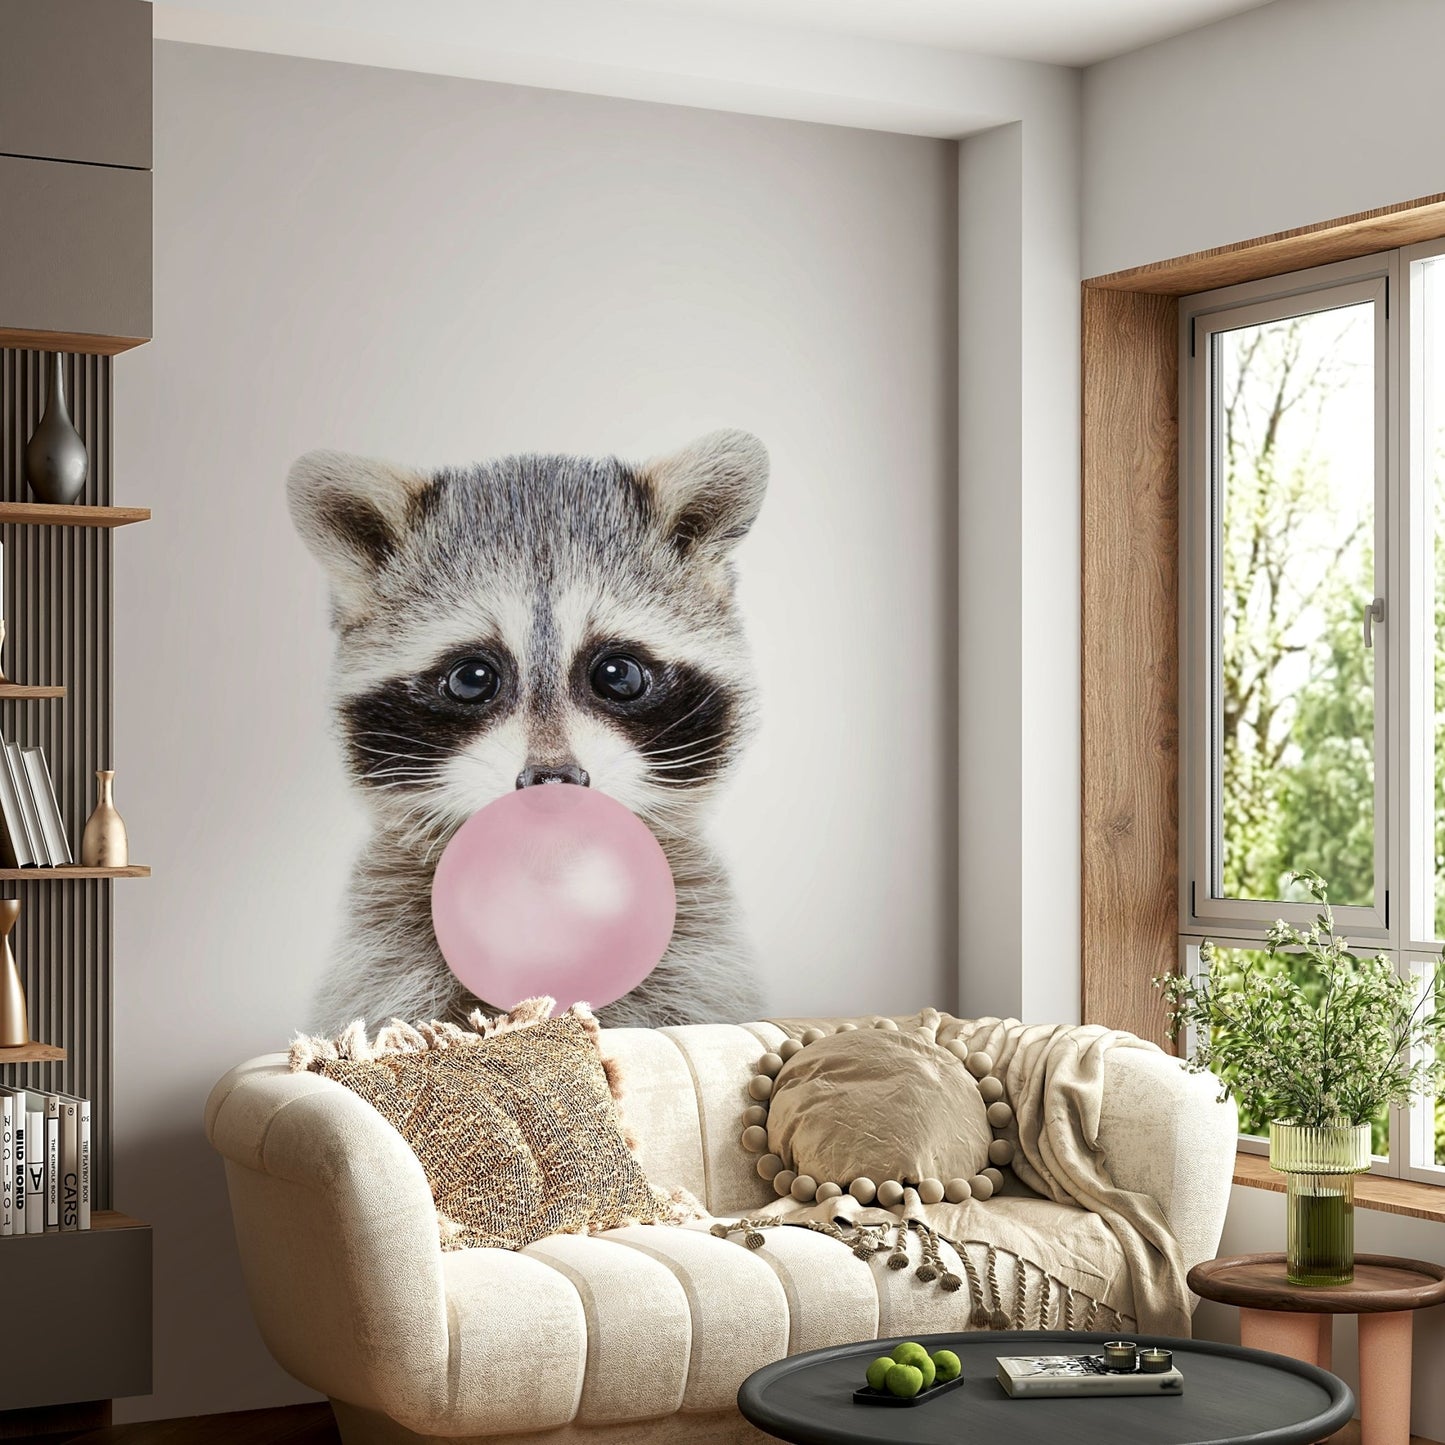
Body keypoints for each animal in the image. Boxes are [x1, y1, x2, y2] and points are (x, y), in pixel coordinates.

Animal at [287, 429, 768, 1033]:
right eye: (472, 678)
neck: (548, 889)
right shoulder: (388, 949)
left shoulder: (696, 952)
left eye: (618, 674)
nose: (553, 781)